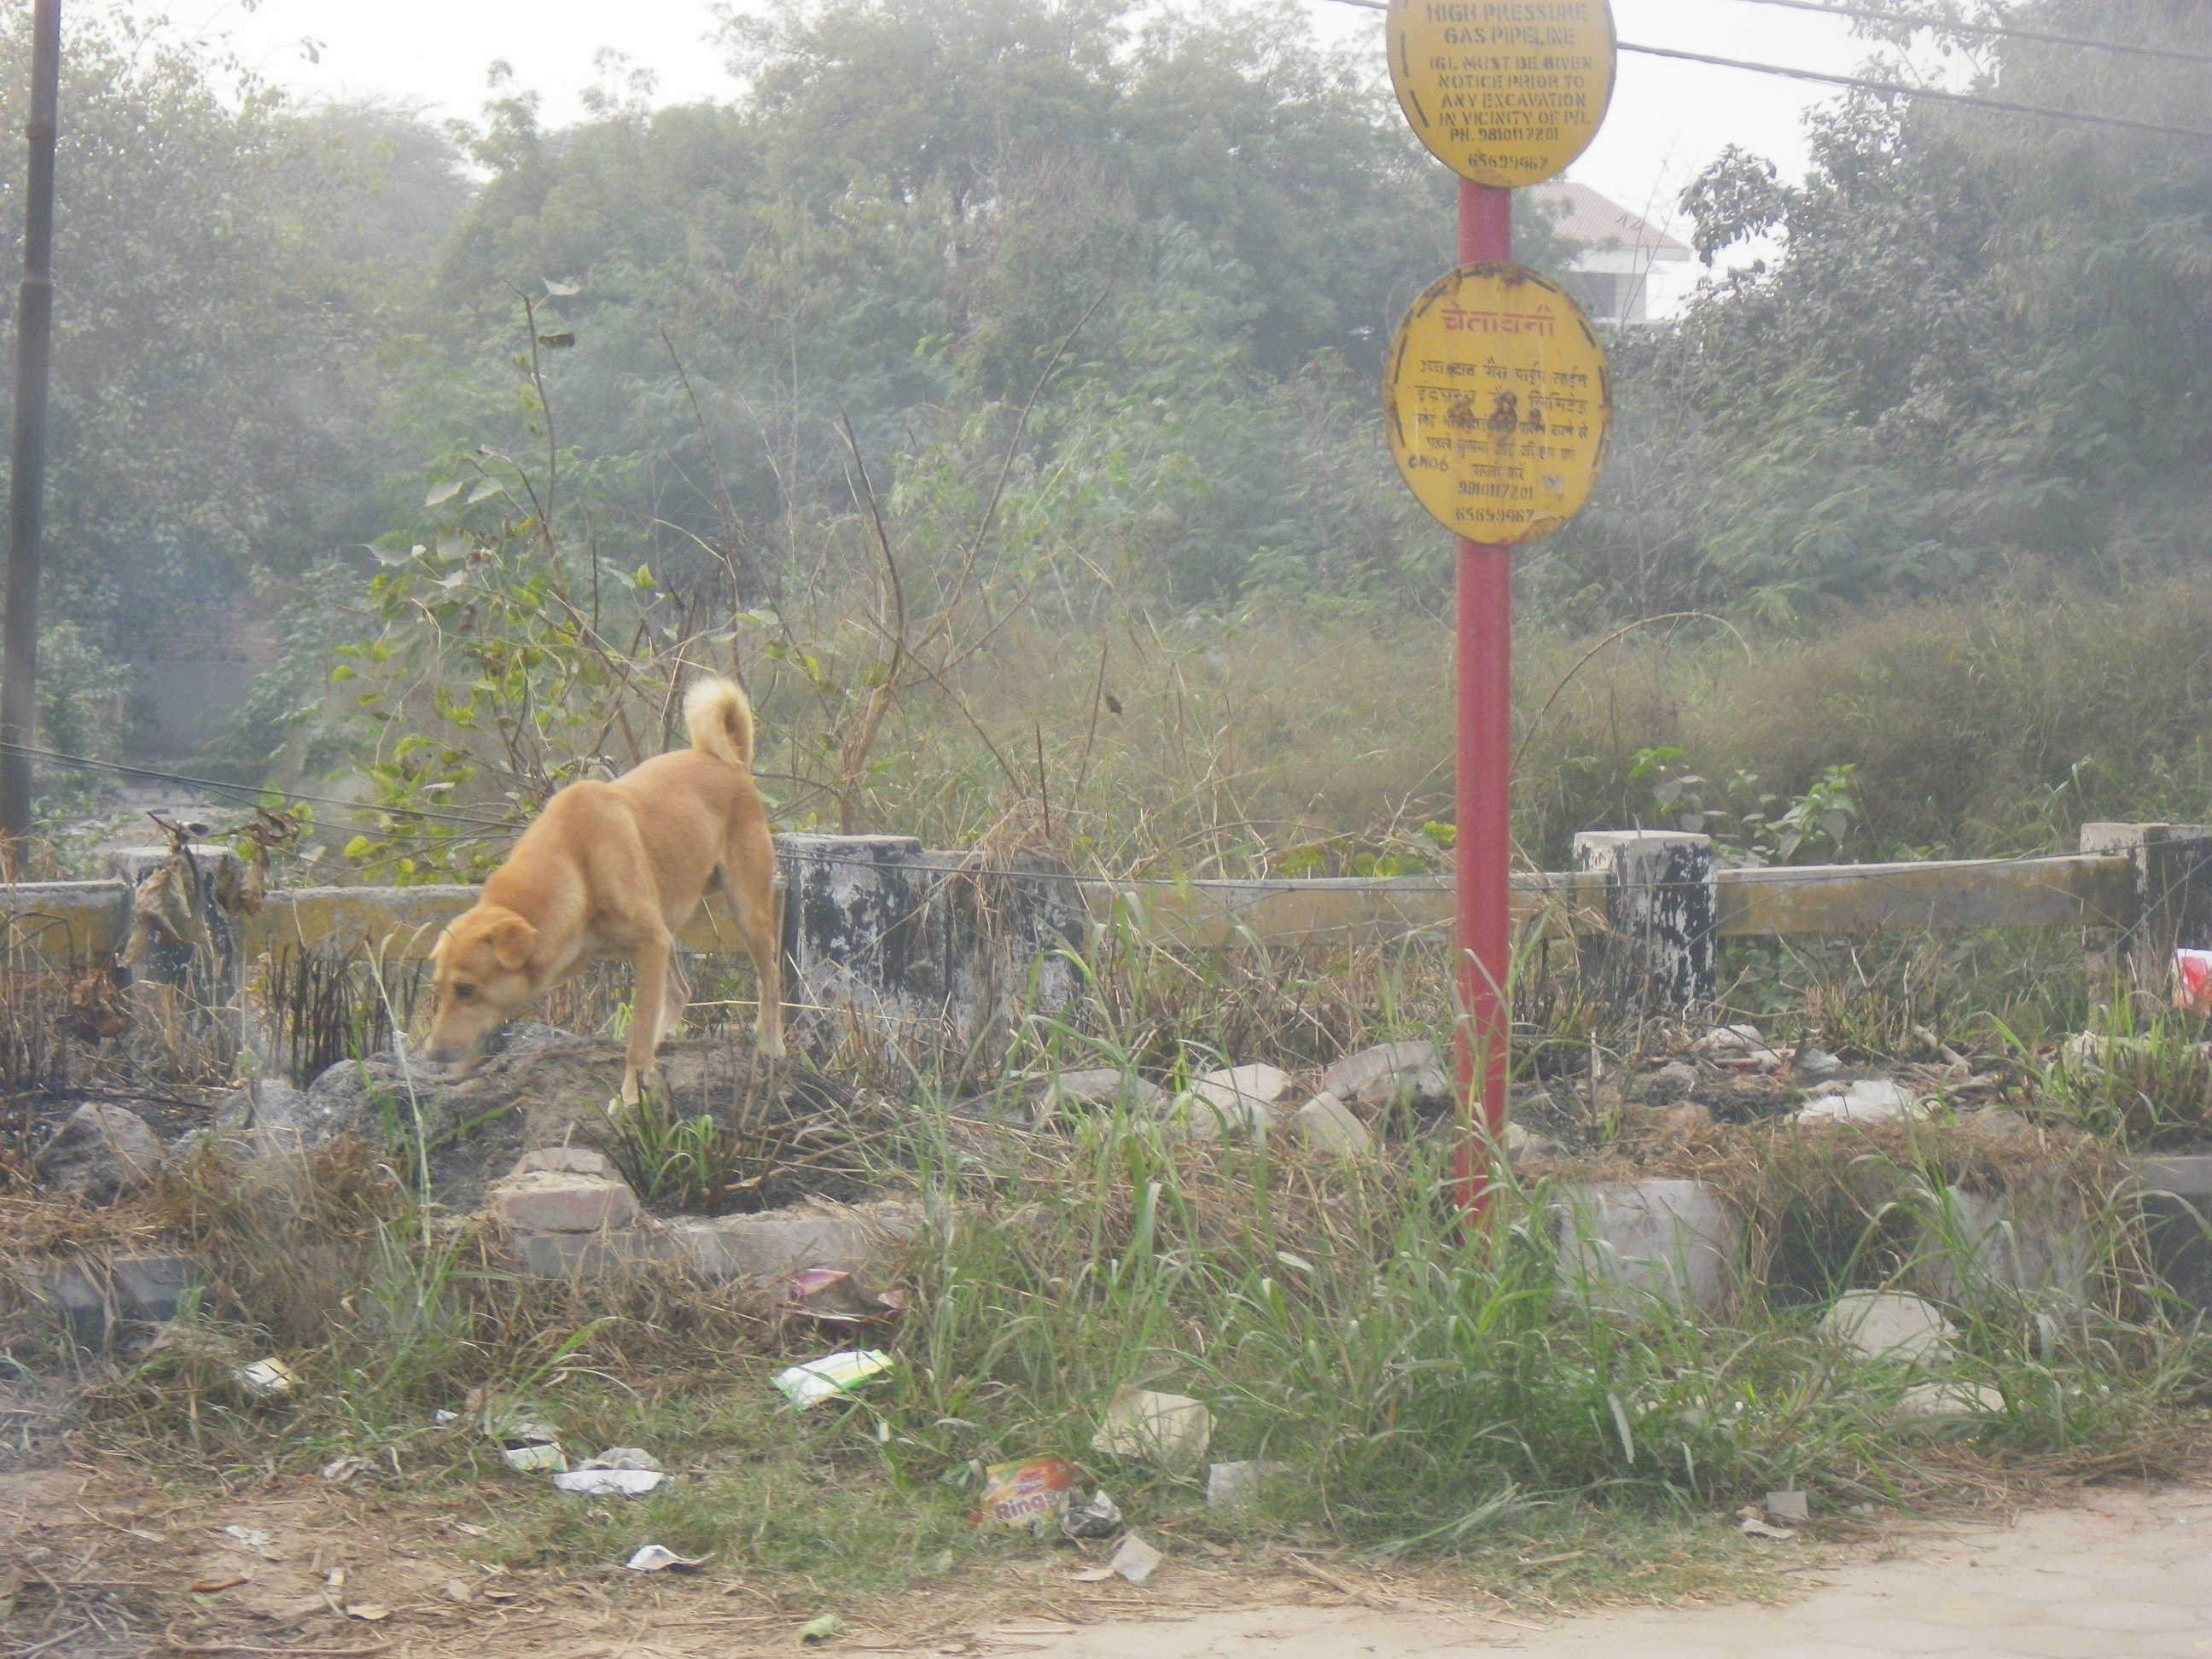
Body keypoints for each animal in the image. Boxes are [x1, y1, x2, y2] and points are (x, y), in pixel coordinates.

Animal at [423, 675, 784, 1102]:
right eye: (439, 989)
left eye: (466, 989)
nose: (432, 1055)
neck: (574, 860)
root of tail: (728, 762)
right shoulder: (598, 951)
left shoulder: (649, 944)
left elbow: (638, 1037)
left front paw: (630, 1097)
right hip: (668, 924)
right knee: (679, 992)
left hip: (745, 912)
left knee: (769, 979)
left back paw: (772, 1046)